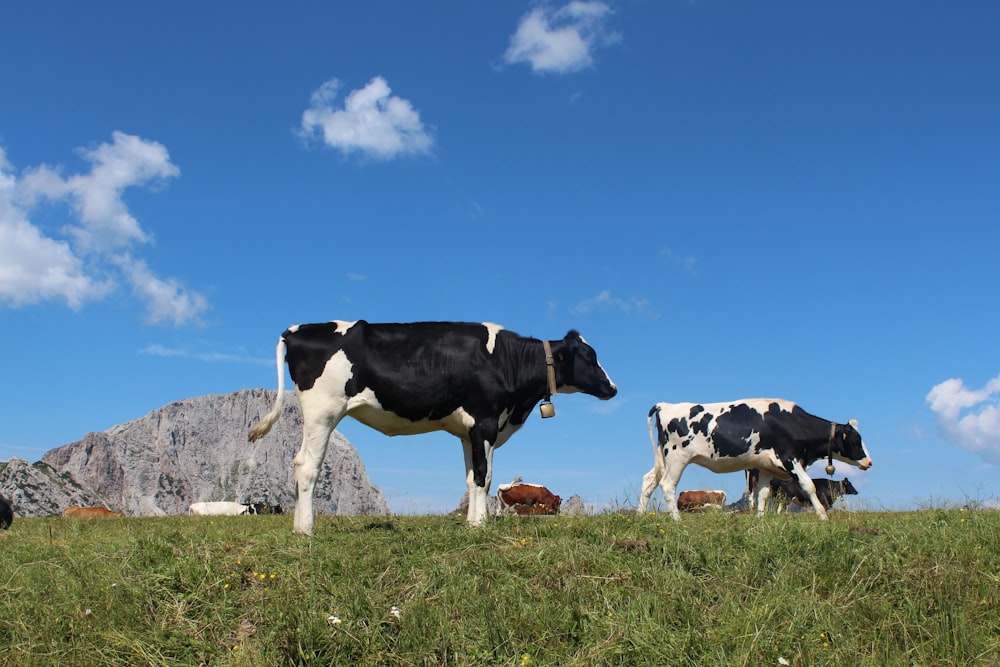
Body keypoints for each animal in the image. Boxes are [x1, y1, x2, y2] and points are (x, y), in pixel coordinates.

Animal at [248, 320, 616, 536]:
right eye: (589, 356)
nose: (613, 388)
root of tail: (296, 330)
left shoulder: (469, 431)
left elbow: (472, 477)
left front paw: (473, 521)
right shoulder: (485, 420)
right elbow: (483, 477)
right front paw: (480, 525)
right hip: (322, 412)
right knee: (306, 465)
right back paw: (306, 529)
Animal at [636, 400, 872, 520]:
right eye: (856, 439)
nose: (869, 462)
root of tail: (666, 404)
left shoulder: (765, 466)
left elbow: (764, 494)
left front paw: (759, 519)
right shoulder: (789, 458)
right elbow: (808, 486)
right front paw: (823, 516)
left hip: (663, 457)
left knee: (649, 480)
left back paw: (640, 514)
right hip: (677, 457)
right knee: (667, 485)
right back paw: (676, 519)